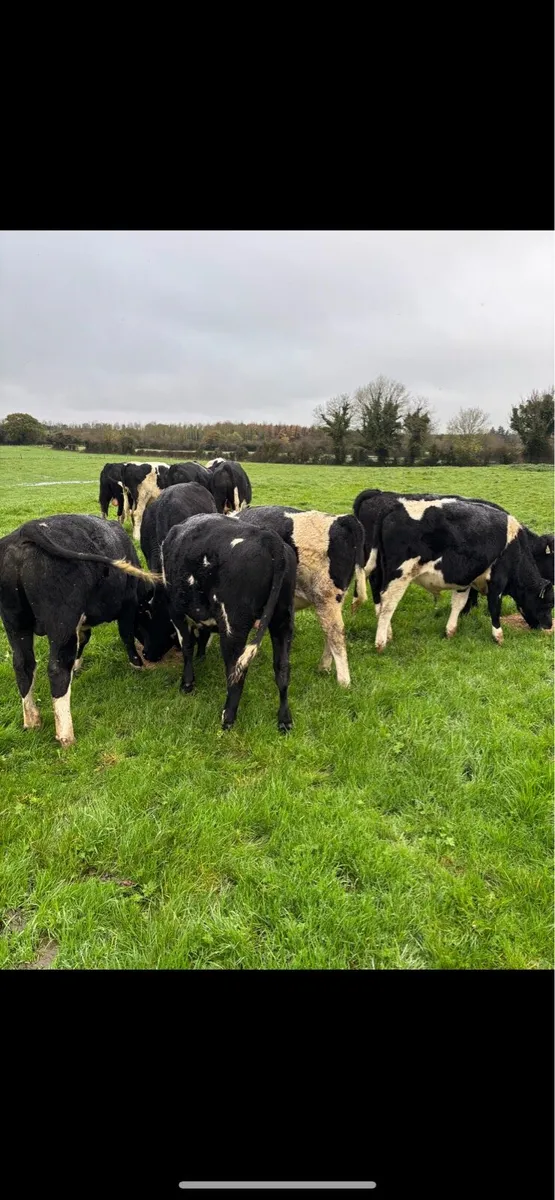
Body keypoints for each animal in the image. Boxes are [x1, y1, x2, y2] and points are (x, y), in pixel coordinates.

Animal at [0, 515, 159, 747]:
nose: (150, 654)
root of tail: (27, 530)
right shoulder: (128, 604)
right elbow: (126, 635)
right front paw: (136, 663)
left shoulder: (81, 621)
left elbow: (84, 639)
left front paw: (77, 664)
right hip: (61, 624)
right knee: (56, 669)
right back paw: (66, 735)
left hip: (15, 623)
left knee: (23, 665)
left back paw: (32, 721)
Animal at [140, 513, 297, 732]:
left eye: (146, 621)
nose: (146, 654)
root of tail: (268, 537)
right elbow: (202, 635)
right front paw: (201, 657)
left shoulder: (176, 611)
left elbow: (187, 645)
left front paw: (187, 683)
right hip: (282, 620)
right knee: (282, 668)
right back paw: (284, 719)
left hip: (233, 626)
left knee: (236, 670)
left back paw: (228, 717)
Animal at [234, 505, 366, 687]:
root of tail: (342, 519)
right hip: (334, 598)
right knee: (330, 631)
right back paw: (324, 667)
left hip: (325, 595)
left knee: (335, 633)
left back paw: (343, 682)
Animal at [371, 497, 554, 651]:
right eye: (549, 604)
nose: (549, 627)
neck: (516, 548)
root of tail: (393, 509)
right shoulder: (497, 581)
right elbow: (494, 607)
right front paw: (498, 636)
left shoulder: (465, 580)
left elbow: (458, 604)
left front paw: (450, 631)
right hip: (400, 575)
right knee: (388, 604)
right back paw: (381, 642)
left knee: (380, 600)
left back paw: (388, 633)